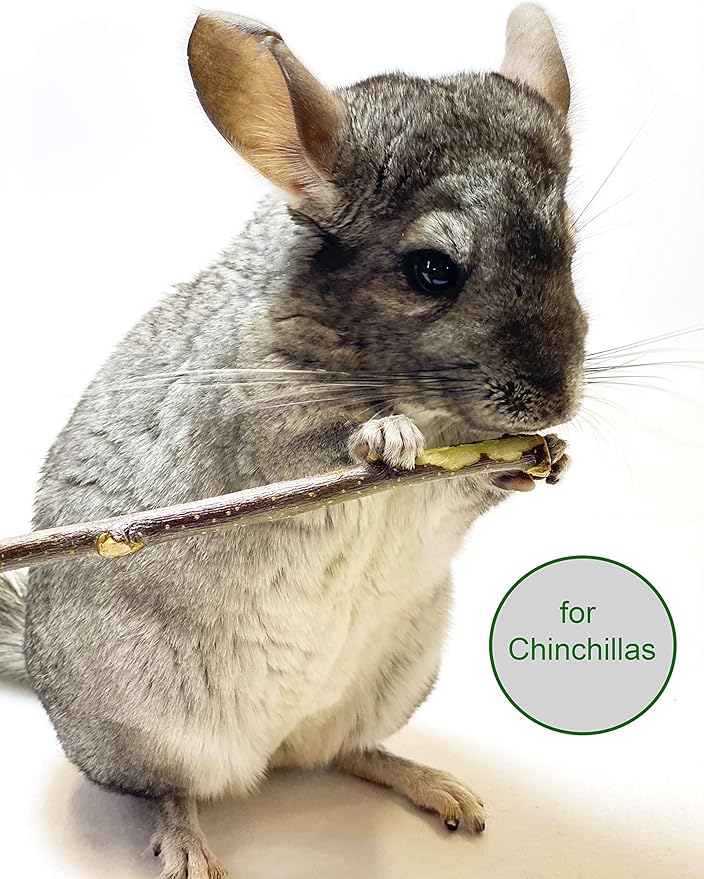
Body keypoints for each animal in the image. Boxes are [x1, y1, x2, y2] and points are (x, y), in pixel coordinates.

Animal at [0, 4, 585, 877]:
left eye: (572, 249)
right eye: (432, 270)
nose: (559, 398)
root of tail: (273, 749)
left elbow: (471, 486)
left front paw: (542, 459)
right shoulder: (245, 421)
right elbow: (309, 451)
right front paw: (387, 435)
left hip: (397, 677)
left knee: (348, 752)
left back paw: (434, 785)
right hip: (146, 727)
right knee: (168, 789)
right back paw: (187, 843)